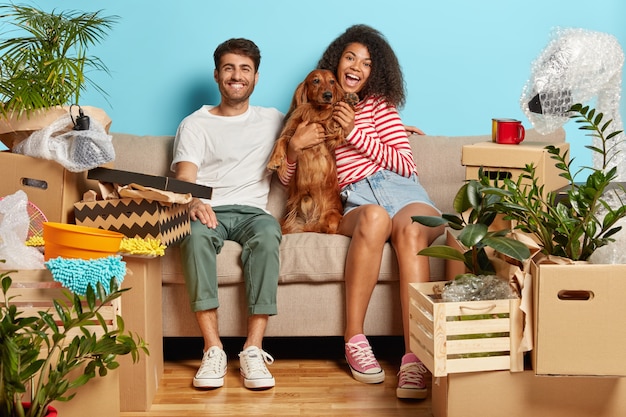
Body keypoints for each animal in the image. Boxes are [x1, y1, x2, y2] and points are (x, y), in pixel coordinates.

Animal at [264, 69, 352, 234]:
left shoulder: (330, 132)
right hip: (284, 222)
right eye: (316, 81)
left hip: (330, 218)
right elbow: (281, 140)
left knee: (324, 227)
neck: (315, 111)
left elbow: (333, 121)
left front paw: (350, 101)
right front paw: (274, 161)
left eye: (332, 81)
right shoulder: (293, 134)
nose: (328, 95)